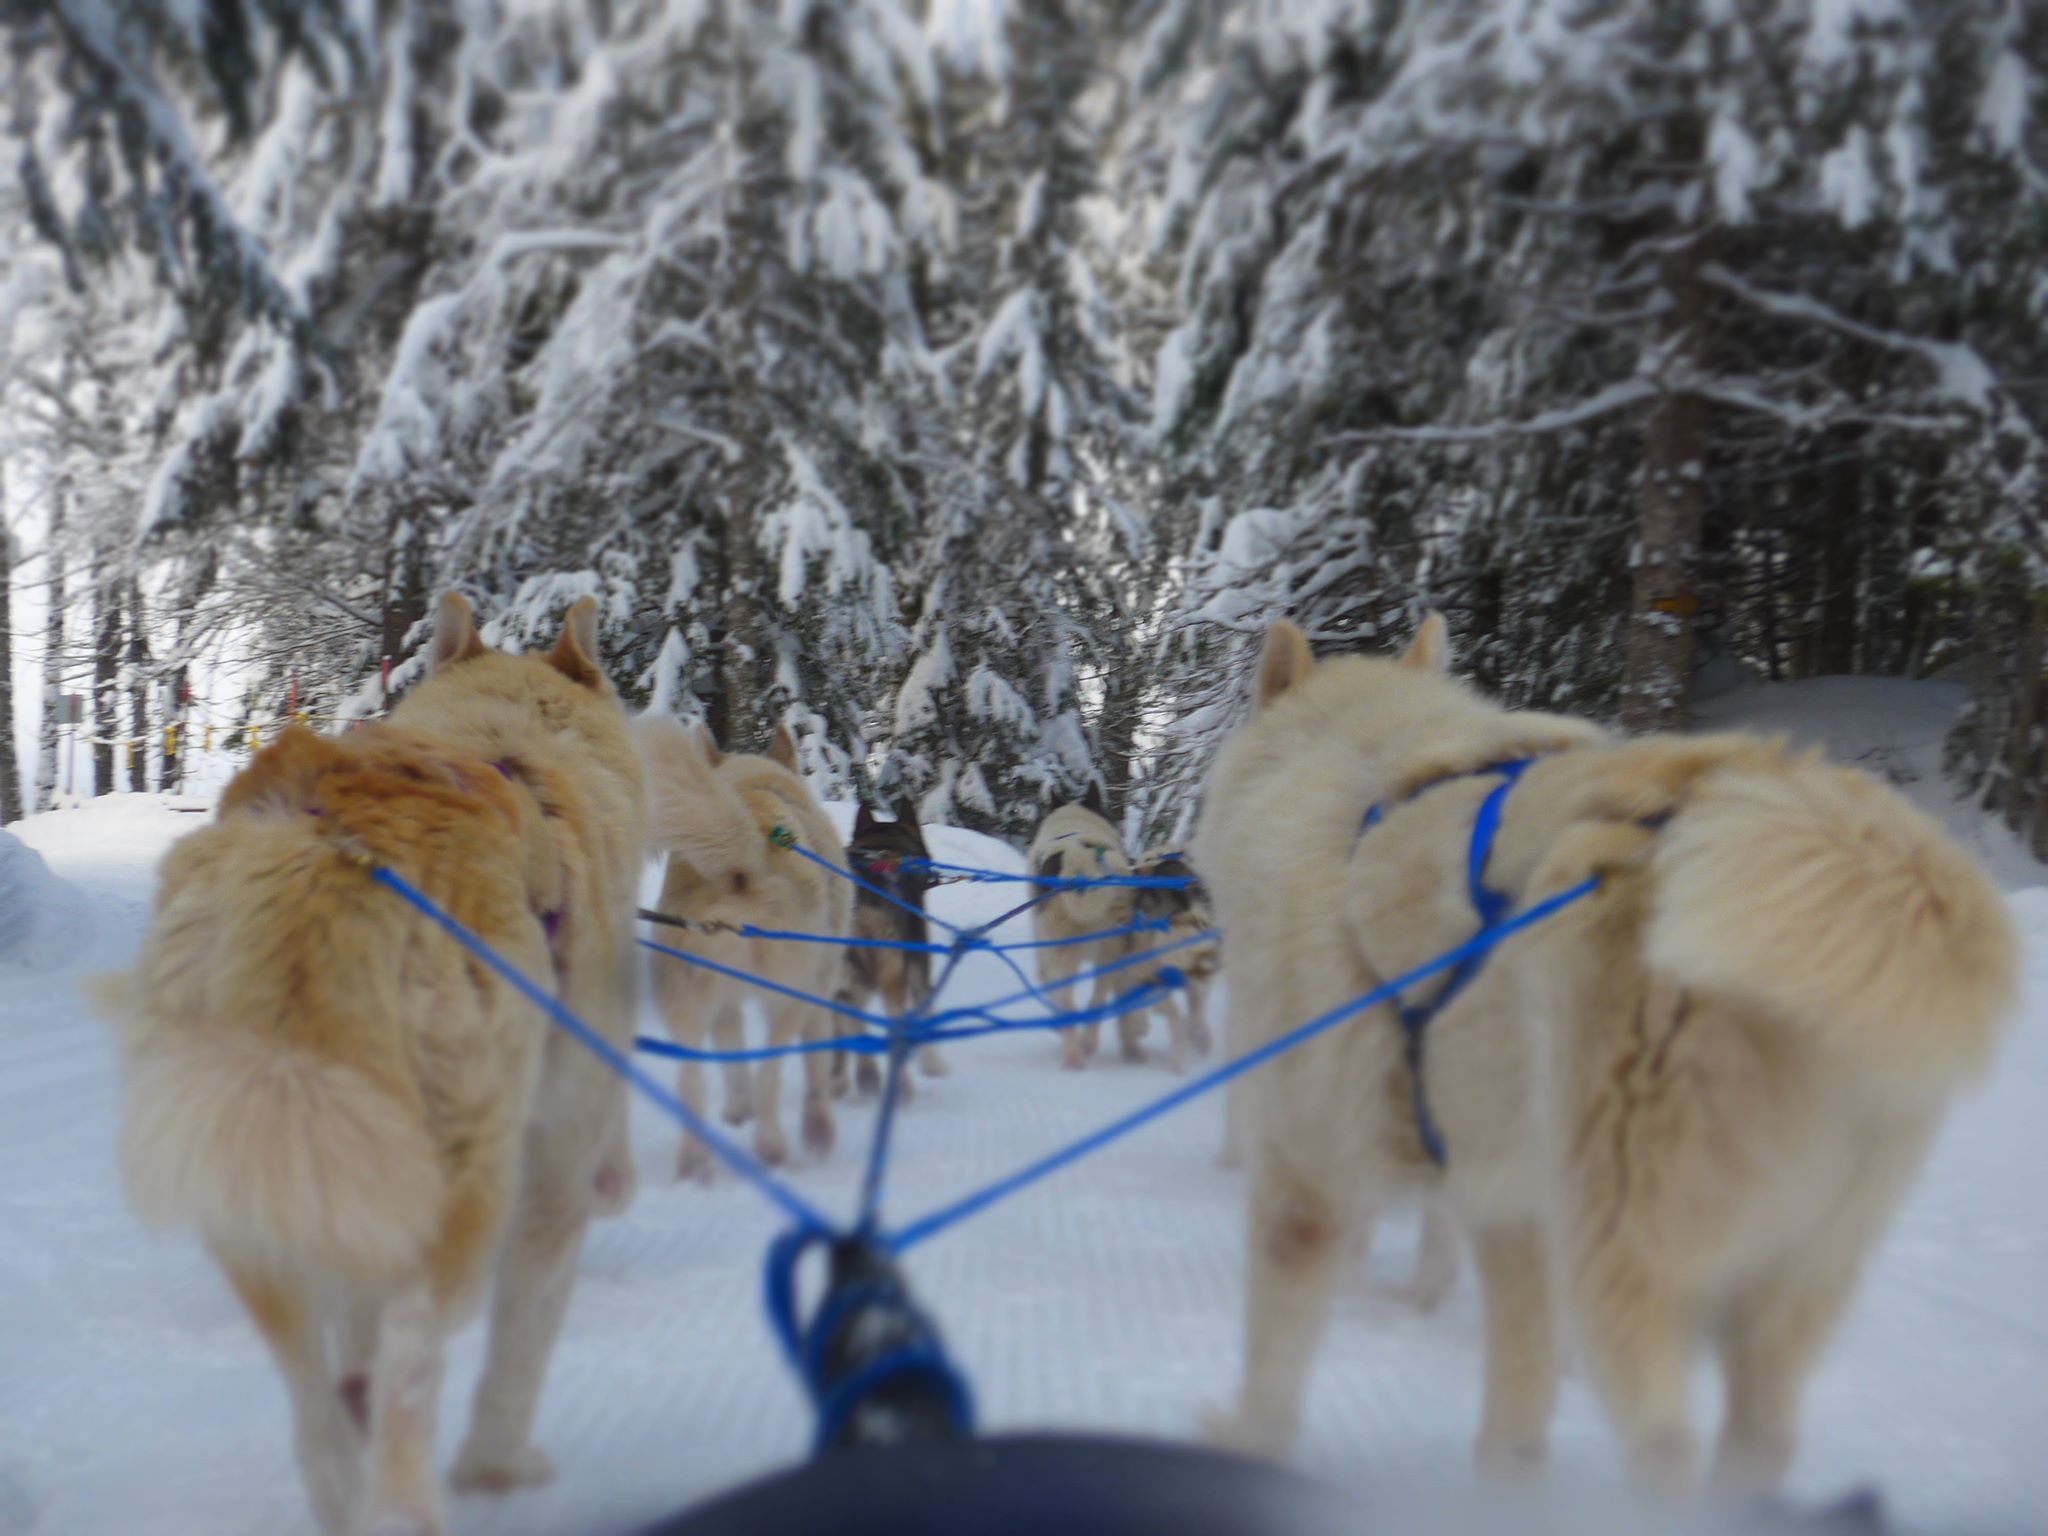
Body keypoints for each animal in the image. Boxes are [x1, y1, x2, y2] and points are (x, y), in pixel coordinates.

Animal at [103, 598, 643, 1536]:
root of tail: (322, 857)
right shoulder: (553, 1171)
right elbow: (522, 1341)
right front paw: (500, 1465)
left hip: (259, 1173)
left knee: (316, 1402)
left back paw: (341, 1478)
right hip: (455, 1187)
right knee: (409, 1366)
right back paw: (404, 1501)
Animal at [647, 720, 856, 1179]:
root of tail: (745, 854)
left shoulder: (725, 1004)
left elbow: (732, 1055)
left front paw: (736, 1109)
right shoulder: (816, 990)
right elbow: (815, 1067)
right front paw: (818, 1129)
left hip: (686, 999)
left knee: (692, 1081)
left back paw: (695, 1158)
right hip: (788, 996)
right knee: (769, 1073)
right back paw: (771, 1144)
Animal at [1024, 794, 1138, 1073]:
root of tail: (1079, 864)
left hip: (1063, 951)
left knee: (1070, 1004)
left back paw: (1074, 1053)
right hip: (1112, 951)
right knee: (1098, 1000)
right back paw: (1089, 1047)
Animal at [1196, 618, 2015, 1507]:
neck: (1349, 760)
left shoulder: (1308, 1168)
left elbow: (1279, 1346)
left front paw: (1249, 1441)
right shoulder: (1497, 1185)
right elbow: (1511, 1381)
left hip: (1623, 1254)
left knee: (1665, 1442)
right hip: (1792, 1280)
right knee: (1760, 1441)